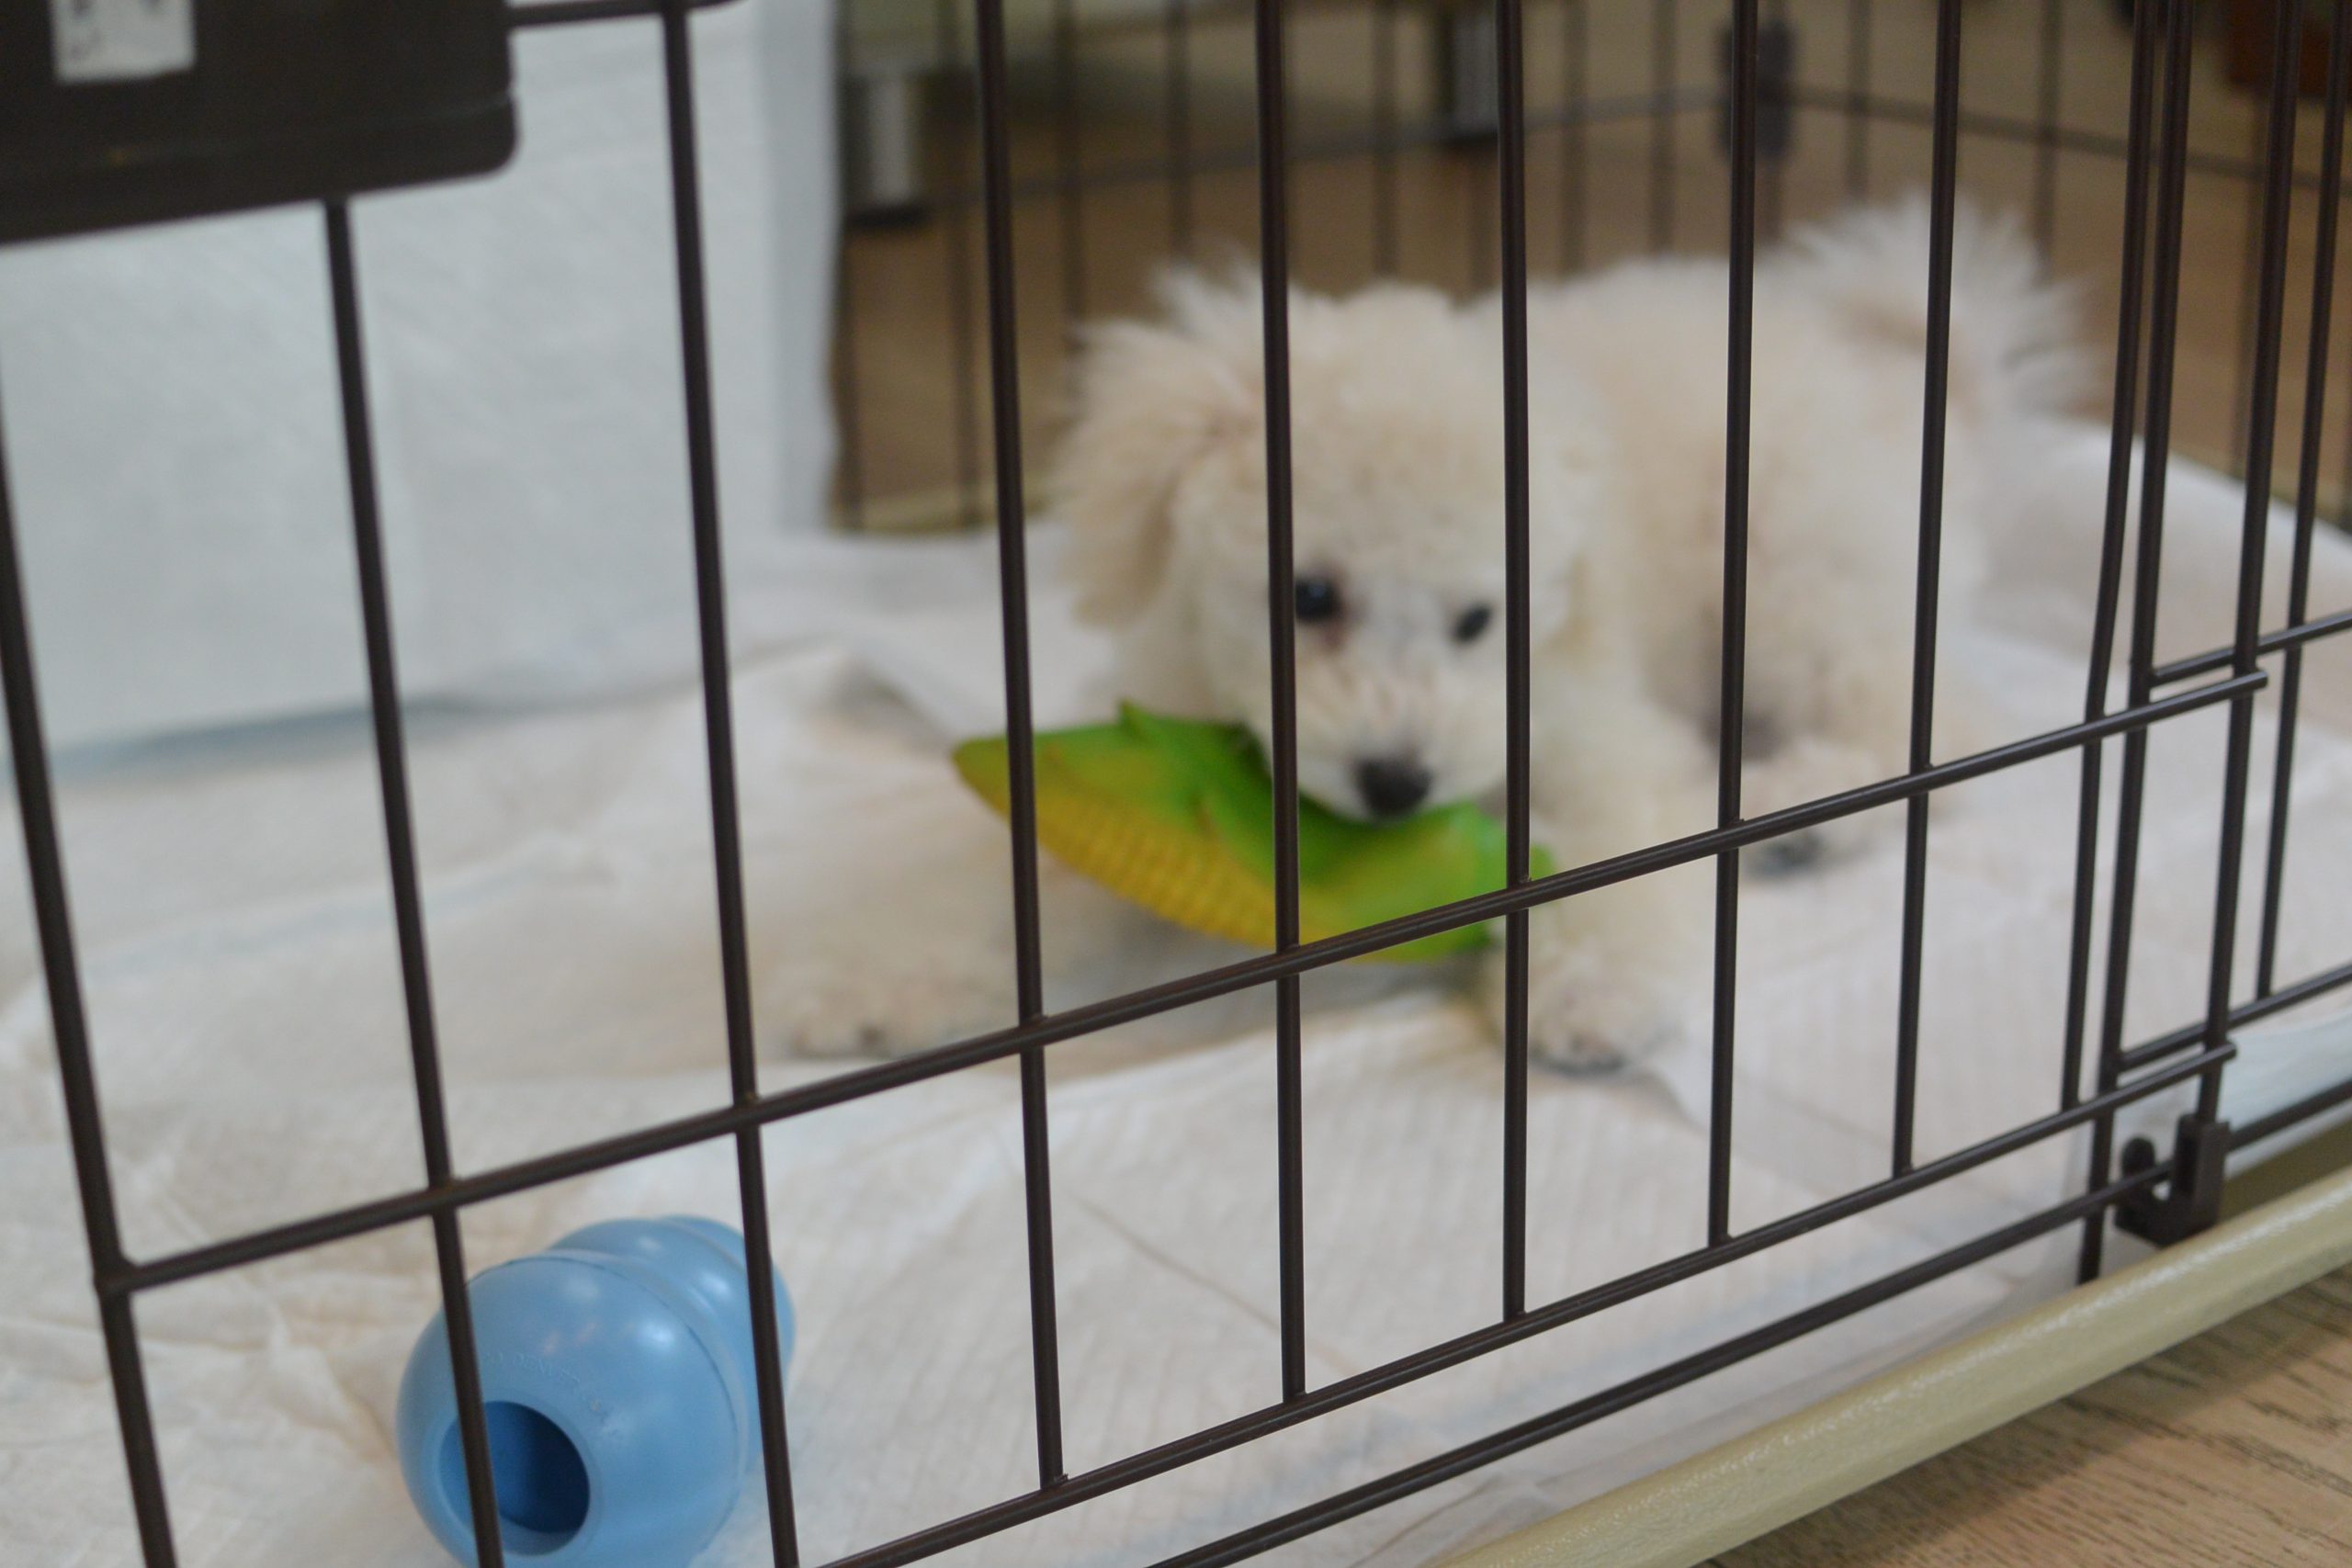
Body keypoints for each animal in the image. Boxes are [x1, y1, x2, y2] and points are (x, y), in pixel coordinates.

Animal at [765, 196, 2080, 1072]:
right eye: (1307, 597)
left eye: (1479, 620)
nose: (1395, 782)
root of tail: (1913, 392)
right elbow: (1023, 881)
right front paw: (876, 977)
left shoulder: (1591, 728)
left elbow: (1606, 850)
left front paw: (1589, 990)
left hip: (1799, 575)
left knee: (1932, 723)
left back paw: (1799, 812)